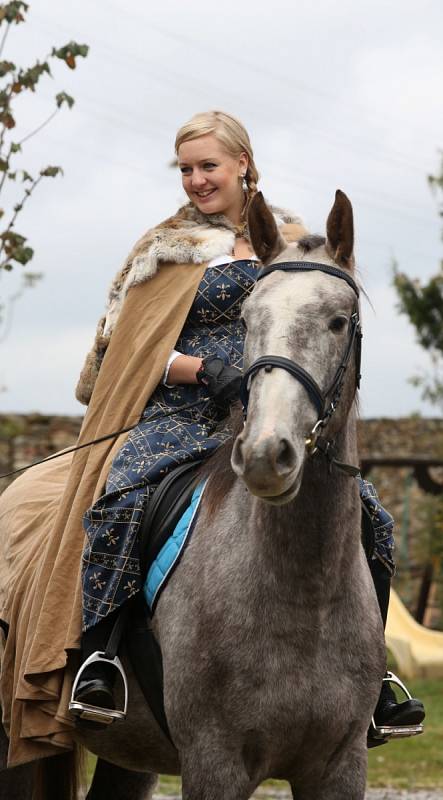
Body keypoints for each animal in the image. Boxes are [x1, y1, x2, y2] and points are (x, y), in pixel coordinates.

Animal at [0, 191, 386, 796]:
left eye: (339, 321)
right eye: (248, 319)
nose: (266, 454)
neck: (306, 594)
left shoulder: (340, 767)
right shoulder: (214, 761)